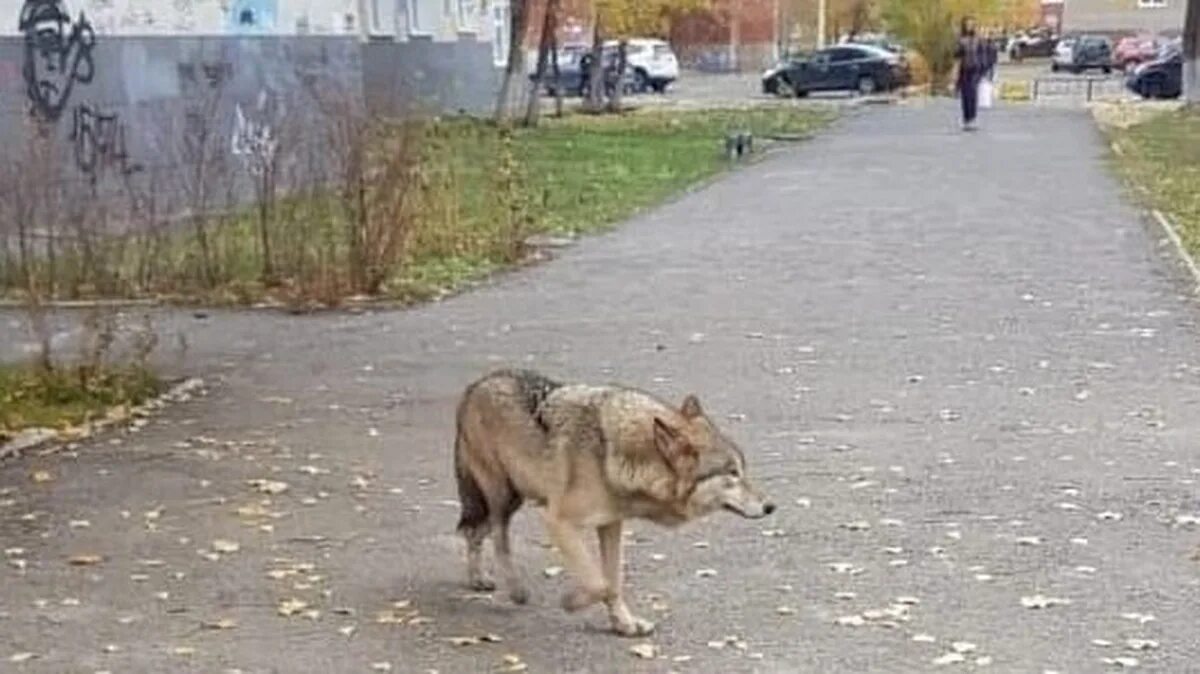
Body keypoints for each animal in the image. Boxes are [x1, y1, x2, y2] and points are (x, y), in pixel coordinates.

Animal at [451, 366, 777, 633]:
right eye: (732, 473)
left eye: (742, 469)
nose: (771, 506)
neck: (611, 454)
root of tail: (475, 385)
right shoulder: (558, 521)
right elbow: (600, 583)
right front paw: (571, 601)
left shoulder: (611, 525)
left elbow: (614, 581)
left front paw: (624, 624)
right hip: (504, 498)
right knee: (497, 538)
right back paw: (516, 590)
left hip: (514, 498)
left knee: (473, 531)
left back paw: (478, 578)